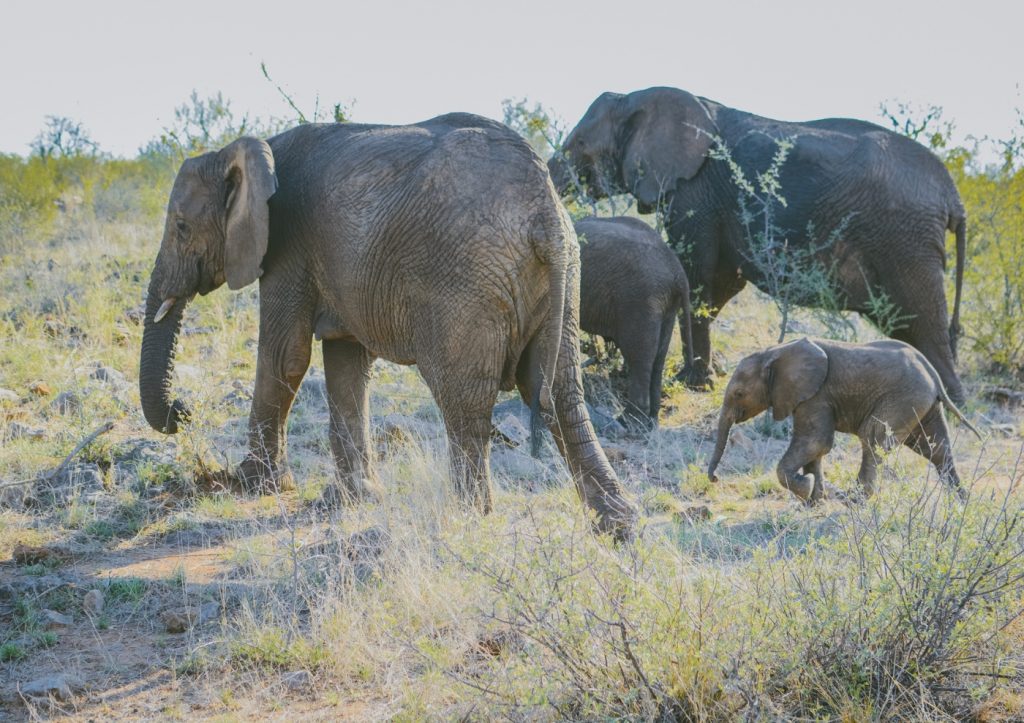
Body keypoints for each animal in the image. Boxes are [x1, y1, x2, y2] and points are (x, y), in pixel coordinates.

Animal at [139, 113, 637, 538]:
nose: (182, 409)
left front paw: (253, 484)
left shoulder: (286, 245)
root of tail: (544, 212)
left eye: (181, 227)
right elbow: (345, 364)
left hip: (466, 287)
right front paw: (352, 497)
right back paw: (618, 526)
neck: (246, 150)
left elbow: (286, 356)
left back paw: (467, 521)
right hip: (565, 274)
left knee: (465, 403)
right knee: (561, 393)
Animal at [549, 86, 968, 404]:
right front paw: (707, 375)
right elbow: (721, 283)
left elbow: (697, 275)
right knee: (912, 327)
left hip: (907, 241)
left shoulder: (696, 189)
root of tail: (953, 196)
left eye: (579, 144)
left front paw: (692, 382)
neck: (637, 97)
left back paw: (950, 402)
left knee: (924, 319)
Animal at [576, 215, 693, 430]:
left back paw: (630, 421)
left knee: (638, 357)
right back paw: (651, 421)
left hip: (639, 298)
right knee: (658, 358)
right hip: (665, 305)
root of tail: (677, 270)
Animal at [706, 338, 979, 503]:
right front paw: (813, 500)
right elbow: (815, 449)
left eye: (739, 394)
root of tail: (931, 370)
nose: (715, 479)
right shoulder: (810, 396)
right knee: (936, 448)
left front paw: (806, 488)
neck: (774, 352)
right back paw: (961, 501)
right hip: (923, 403)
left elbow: (816, 442)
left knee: (872, 437)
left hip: (904, 398)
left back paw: (853, 501)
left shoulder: (816, 395)